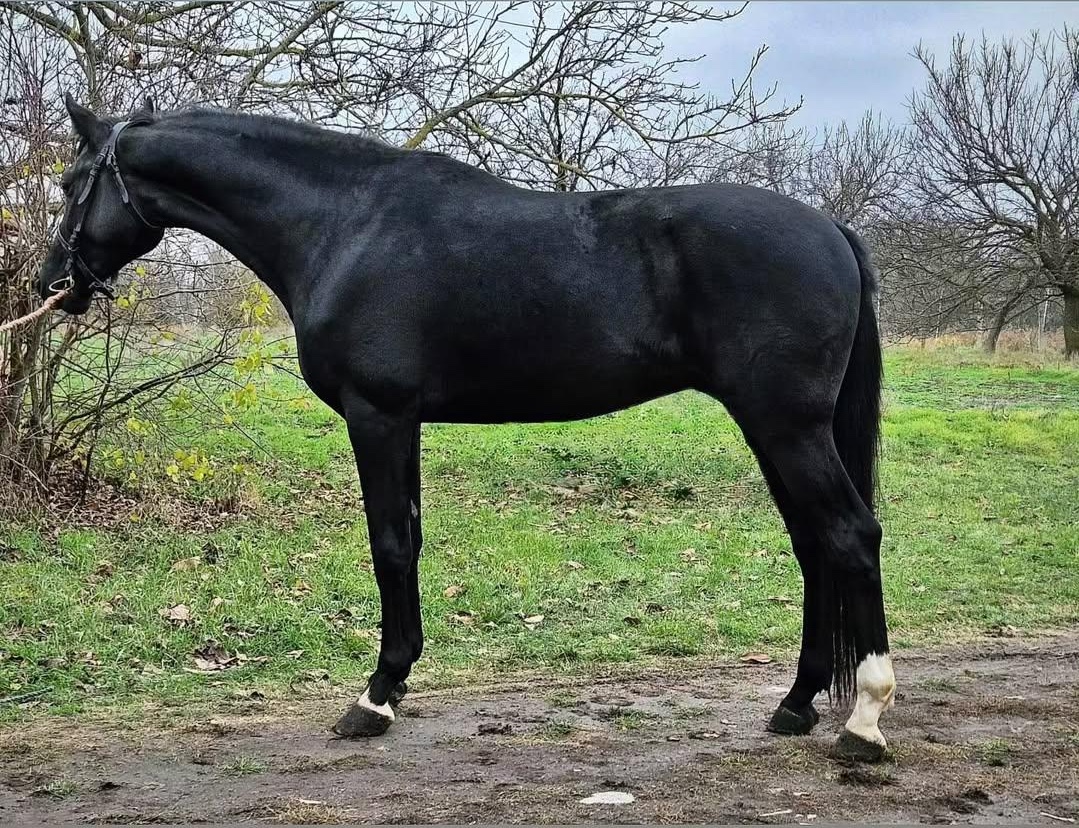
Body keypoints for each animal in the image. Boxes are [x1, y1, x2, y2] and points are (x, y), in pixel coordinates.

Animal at [39, 96, 895, 762]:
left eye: (74, 183)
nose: (56, 284)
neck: (344, 225)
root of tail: (832, 231)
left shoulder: (377, 414)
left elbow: (389, 545)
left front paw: (374, 698)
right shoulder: (402, 420)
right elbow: (409, 540)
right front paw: (395, 684)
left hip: (785, 426)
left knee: (850, 536)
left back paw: (863, 720)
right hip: (773, 428)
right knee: (813, 546)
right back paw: (795, 703)